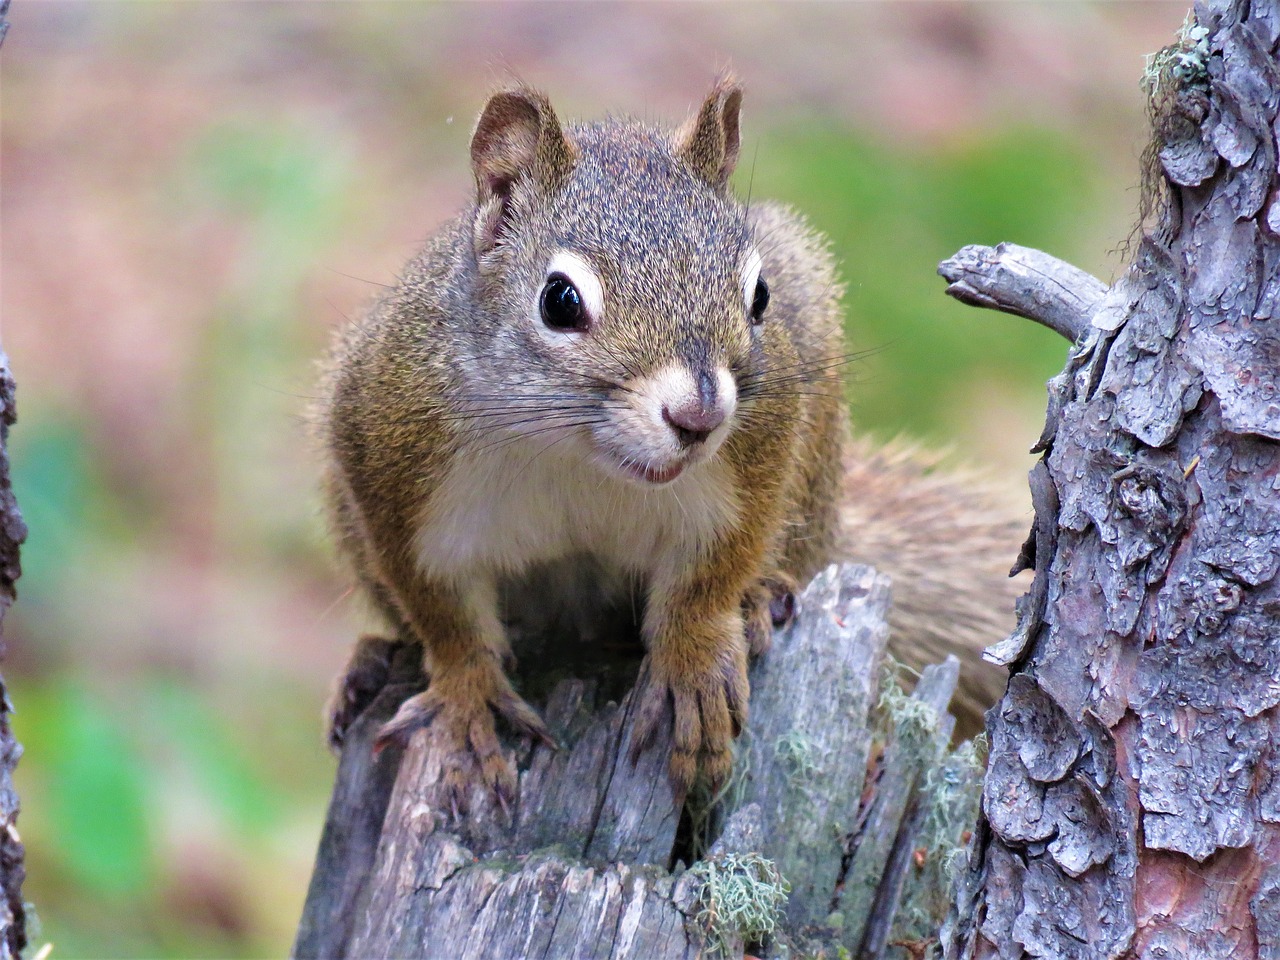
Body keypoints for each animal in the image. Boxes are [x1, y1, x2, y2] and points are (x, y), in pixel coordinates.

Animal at [322, 77, 1029, 814]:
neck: (577, 456)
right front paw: (468, 701)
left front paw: (694, 664)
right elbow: (444, 615)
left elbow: (711, 576)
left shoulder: (753, 463)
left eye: (760, 294)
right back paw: (371, 664)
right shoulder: (392, 463)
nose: (699, 417)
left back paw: (762, 595)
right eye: (559, 300)